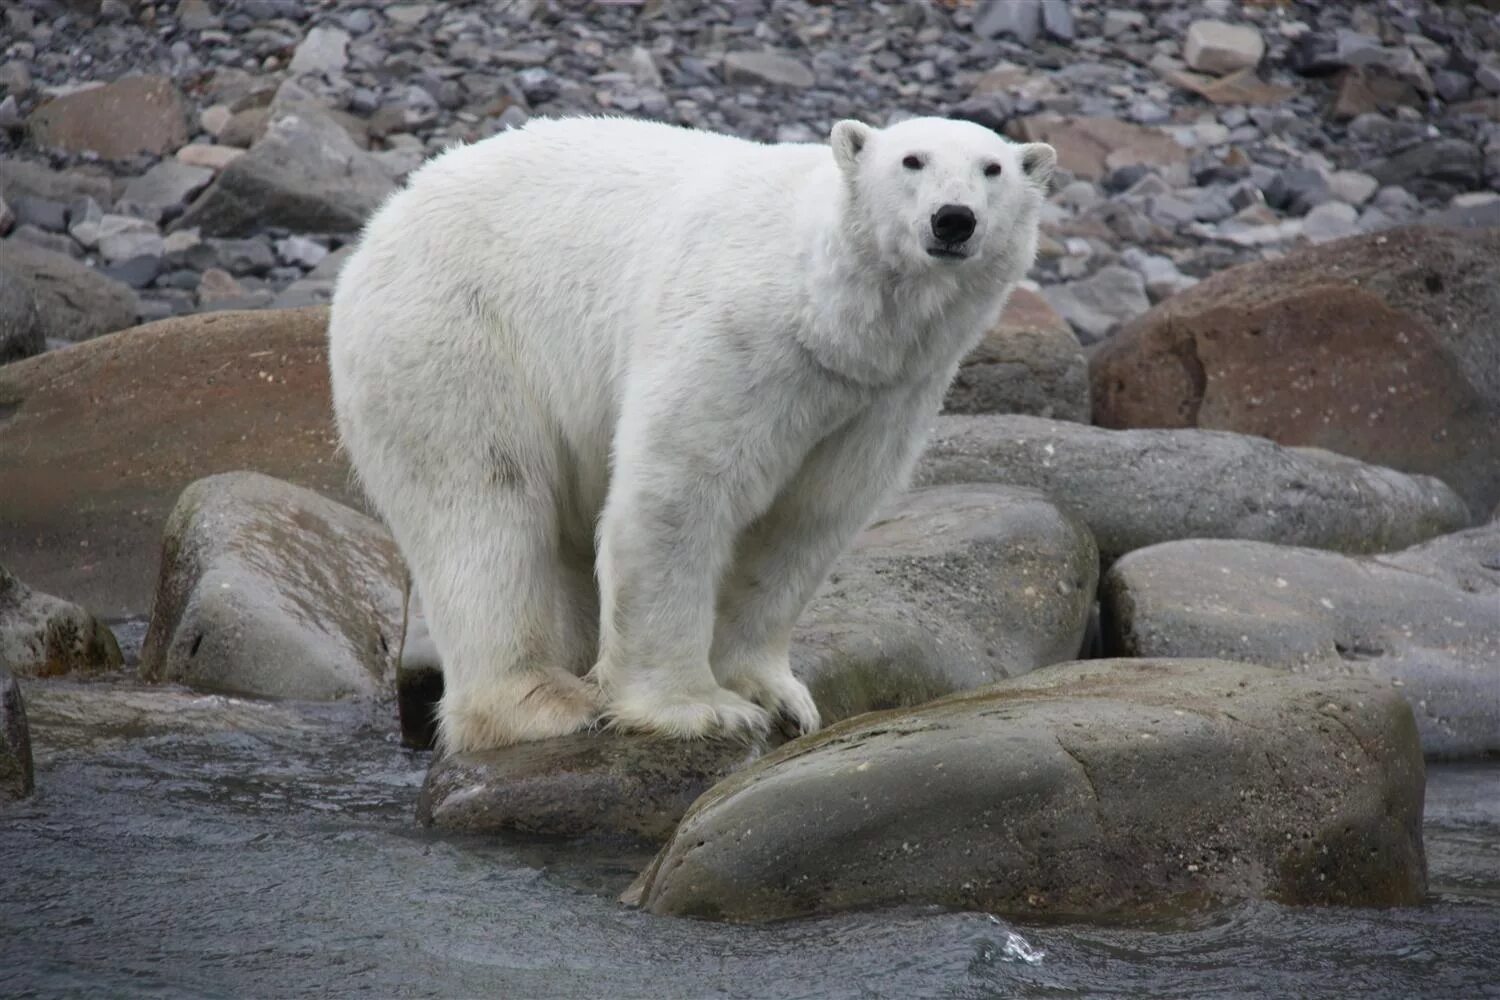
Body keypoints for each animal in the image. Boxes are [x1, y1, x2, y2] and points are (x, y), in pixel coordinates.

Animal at [328, 113, 1056, 749]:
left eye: (992, 168)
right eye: (912, 160)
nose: (953, 219)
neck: (829, 314)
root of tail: (383, 219)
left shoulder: (883, 396)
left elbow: (806, 520)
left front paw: (775, 694)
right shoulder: (739, 338)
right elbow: (679, 493)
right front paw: (699, 709)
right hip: (454, 336)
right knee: (485, 503)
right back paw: (544, 700)